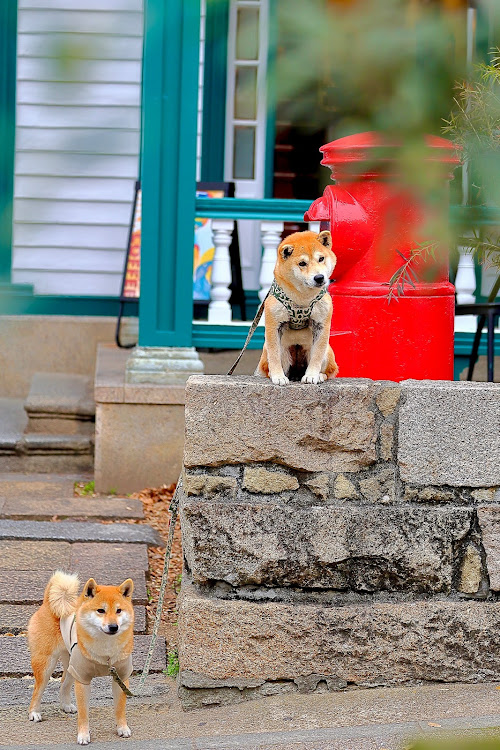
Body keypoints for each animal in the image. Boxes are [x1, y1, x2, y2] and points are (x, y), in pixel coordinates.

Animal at [28, 576, 134, 748]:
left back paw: (65, 705)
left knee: (64, 684)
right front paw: (83, 735)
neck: (106, 650)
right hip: (46, 665)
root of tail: (48, 603)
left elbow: (120, 708)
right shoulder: (83, 680)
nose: (113, 627)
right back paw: (34, 712)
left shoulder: (121, 677)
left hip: (72, 666)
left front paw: (122, 728)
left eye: (119, 611)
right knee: (38, 690)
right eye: (101, 610)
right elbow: (84, 713)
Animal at [256, 231, 338, 388]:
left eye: (321, 259)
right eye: (302, 263)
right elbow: (274, 355)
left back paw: (319, 375)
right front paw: (278, 376)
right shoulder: (273, 326)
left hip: (325, 351)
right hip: (279, 351)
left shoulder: (321, 326)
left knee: (328, 371)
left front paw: (312, 376)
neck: (302, 299)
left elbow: (317, 356)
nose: (319, 277)